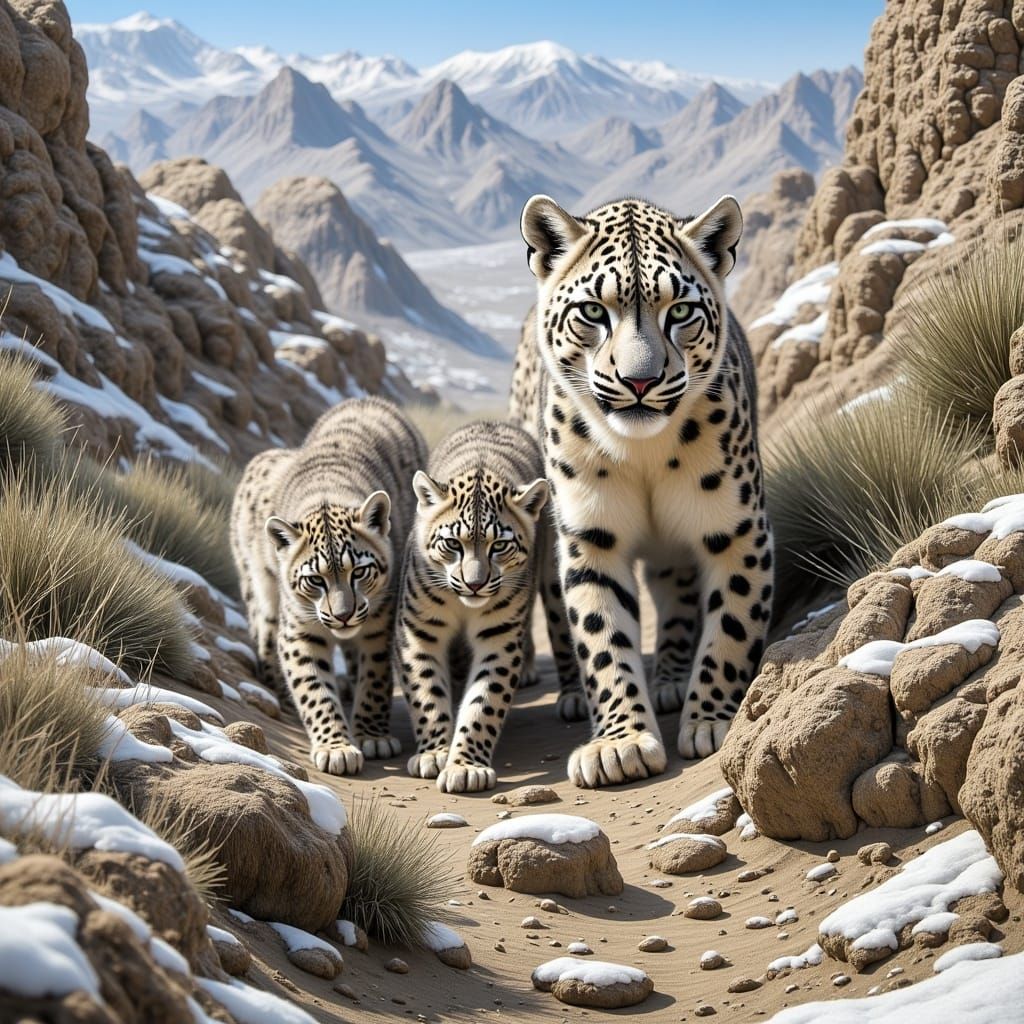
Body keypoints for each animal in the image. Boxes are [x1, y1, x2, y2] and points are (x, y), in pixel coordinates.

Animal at [230, 396, 427, 776]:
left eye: (359, 572)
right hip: (259, 588)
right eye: (315, 579)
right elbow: (313, 688)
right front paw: (336, 747)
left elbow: (375, 677)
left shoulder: (381, 622)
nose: (343, 615)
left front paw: (372, 736)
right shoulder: (299, 630)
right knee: (265, 634)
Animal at [395, 420, 549, 793]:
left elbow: (484, 704)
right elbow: (426, 693)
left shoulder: (499, 637)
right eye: (453, 543)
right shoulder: (418, 632)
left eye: (500, 546)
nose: (475, 583)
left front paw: (465, 766)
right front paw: (434, 753)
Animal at [509, 193, 773, 788]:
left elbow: (732, 625)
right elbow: (601, 635)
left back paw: (673, 679)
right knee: (555, 604)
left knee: (677, 596)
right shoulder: (589, 538)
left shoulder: (738, 528)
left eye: (680, 311)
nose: (640, 381)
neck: (644, 454)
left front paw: (713, 720)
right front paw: (620, 743)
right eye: (592, 312)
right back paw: (571, 695)